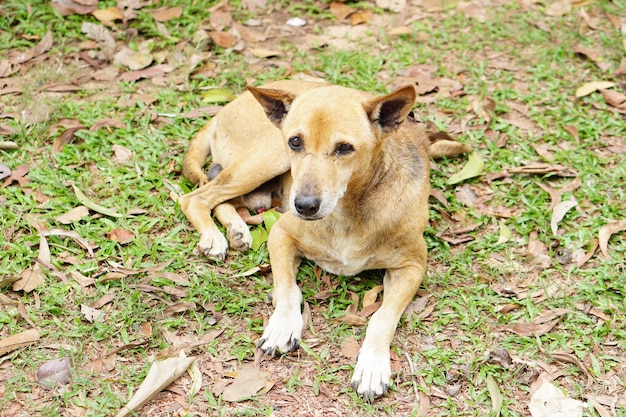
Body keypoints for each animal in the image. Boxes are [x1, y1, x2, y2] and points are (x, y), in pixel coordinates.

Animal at [178, 79, 434, 400]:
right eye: (296, 142)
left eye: (345, 148)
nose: (304, 206)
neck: (348, 211)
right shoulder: (281, 235)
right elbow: (288, 289)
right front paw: (282, 326)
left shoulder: (411, 266)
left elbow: (382, 318)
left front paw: (372, 366)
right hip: (267, 159)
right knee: (195, 197)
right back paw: (214, 236)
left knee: (216, 196)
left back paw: (235, 230)